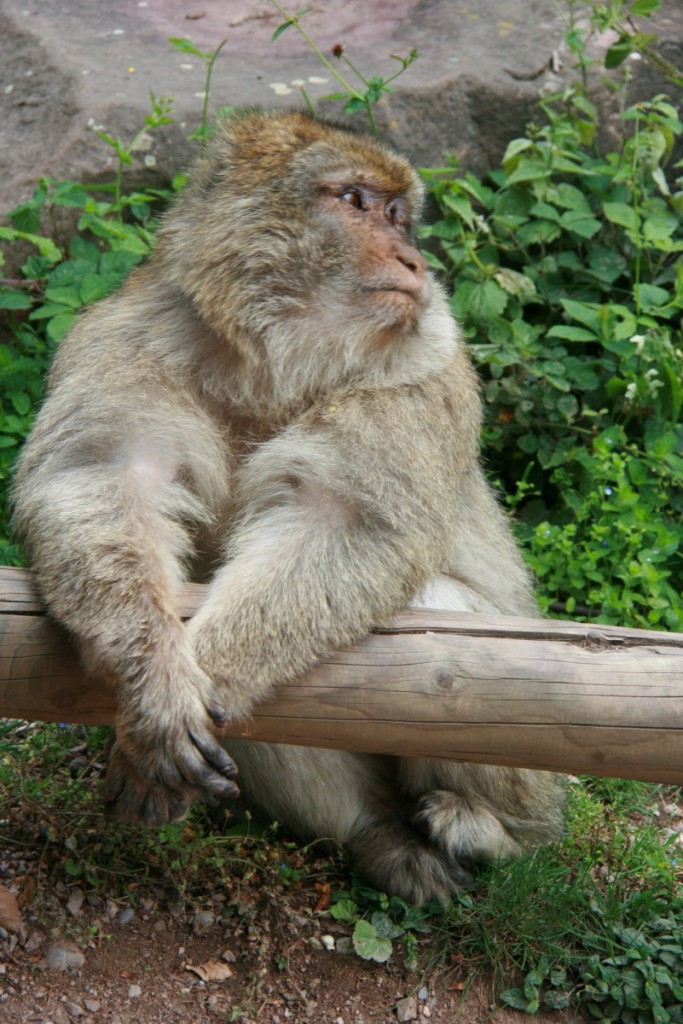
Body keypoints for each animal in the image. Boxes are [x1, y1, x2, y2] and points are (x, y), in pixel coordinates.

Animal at [13, 110, 565, 905]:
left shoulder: (423, 368)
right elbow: (102, 481)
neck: (274, 363)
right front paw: (156, 685)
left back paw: (488, 829)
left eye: (399, 216)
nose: (412, 259)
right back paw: (378, 838)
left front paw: (207, 672)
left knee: (443, 625)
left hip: (536, 775)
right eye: (356, 202)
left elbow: (349, 524)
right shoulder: (129, 337)